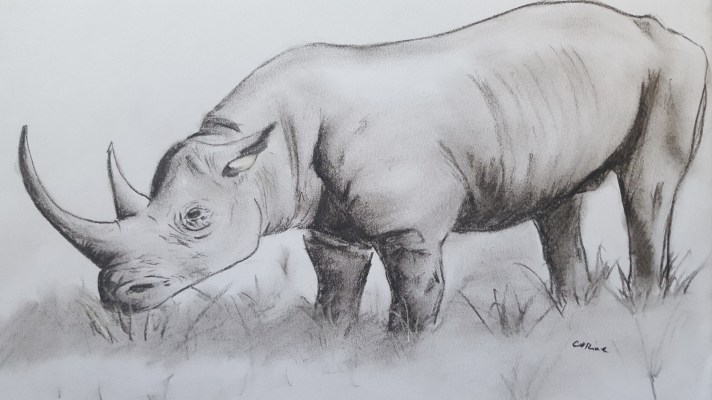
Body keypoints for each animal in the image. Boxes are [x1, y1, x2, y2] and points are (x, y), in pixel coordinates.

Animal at [19, 2, 707, 332]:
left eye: (194, 219)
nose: (117, 295)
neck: (257, 145)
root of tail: (654, 26)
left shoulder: (412, 228)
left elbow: (417, 295)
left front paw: (404, 351)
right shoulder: (330, 223)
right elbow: (337, 287)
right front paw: (335, 346)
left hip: (673, 67)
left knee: (647, 188)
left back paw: (641, 311)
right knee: (558, 203)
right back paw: (570, 313)